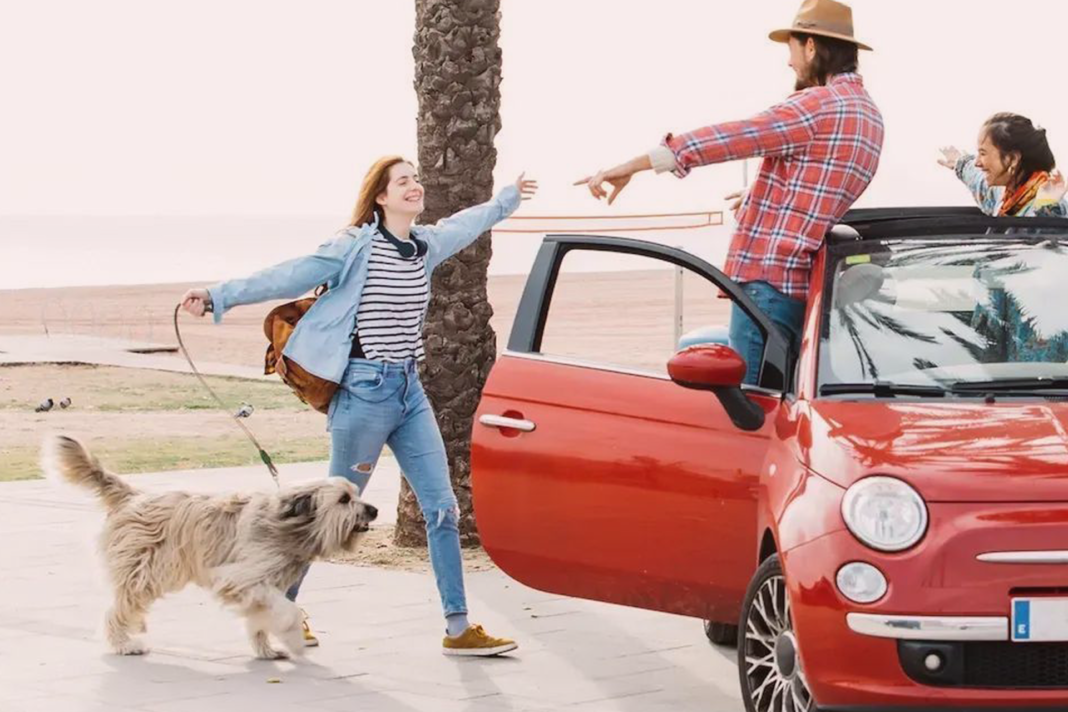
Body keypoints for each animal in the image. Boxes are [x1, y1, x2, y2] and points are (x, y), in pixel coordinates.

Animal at [45, 435, 380, 661]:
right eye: (344, 500)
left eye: (355, 493)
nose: (374, 510)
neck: (288, 526)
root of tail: (133, 496)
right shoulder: (242, 579)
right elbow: (288, 610)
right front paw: (294, 640)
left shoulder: (261, 587)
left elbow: (261, 618)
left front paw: (266, 649)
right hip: (146, 570)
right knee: (118, 608)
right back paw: (123, 643)